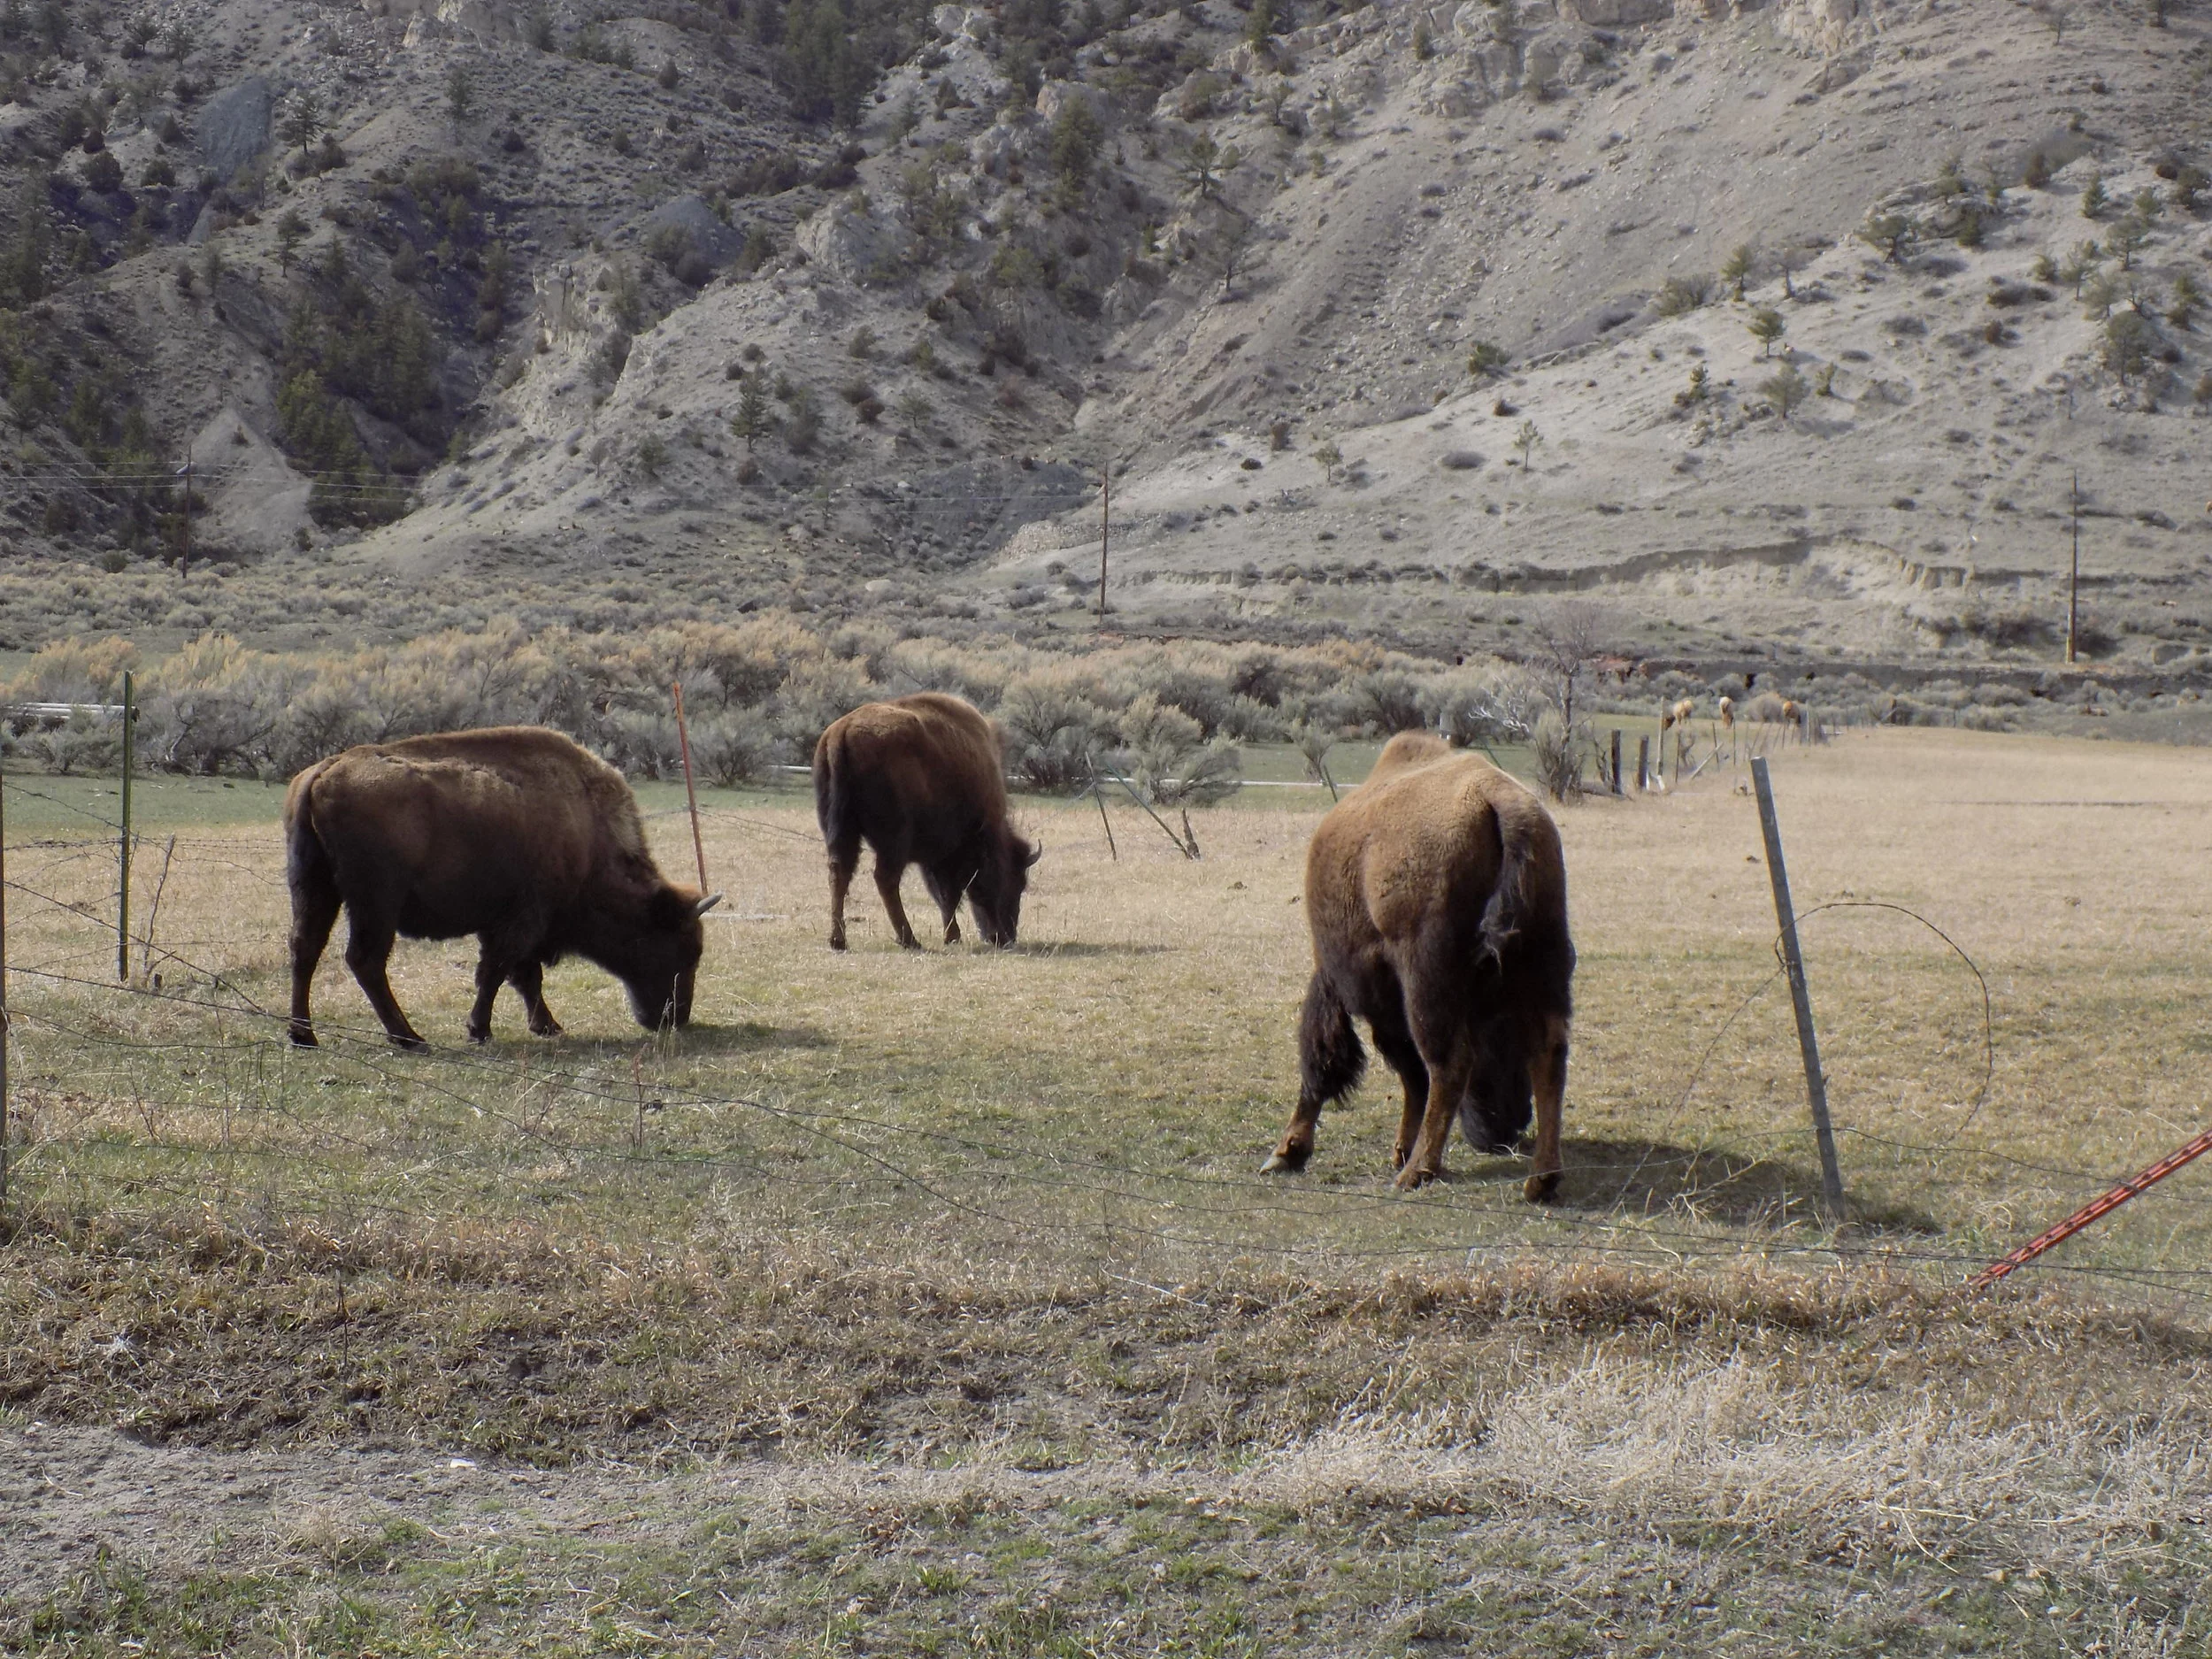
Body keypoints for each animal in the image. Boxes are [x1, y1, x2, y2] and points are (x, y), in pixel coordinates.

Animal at [284, 726, 722, 1050]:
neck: (586, 831)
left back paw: (303, 1035)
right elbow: (498, 973)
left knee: (305, 950)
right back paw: (408, 1038)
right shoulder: (522, 921)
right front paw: (480, 1030)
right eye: (683, 949)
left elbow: (523, 977)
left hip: (315, 890)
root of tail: (322, 773)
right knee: (365, 960)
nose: (675, 1018)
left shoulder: (508, 924)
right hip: (377, 904)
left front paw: (546, 1026)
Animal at [813, 692, 1039, 950]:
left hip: (842, 831)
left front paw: (952, 936)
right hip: (894, 840)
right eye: (1016, 882)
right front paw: (957, 936)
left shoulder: (937, 856)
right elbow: (958, 891)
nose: (1009, 936)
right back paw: (909, 939)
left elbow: (945, 895)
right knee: (885, 879)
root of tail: (842, 732)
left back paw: (838, 940)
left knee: (839, 872)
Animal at [1264, 732, 1575, 1199]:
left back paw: (1417, 1171)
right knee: (1549, 1055)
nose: (1506, 1130)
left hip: (1426, 981)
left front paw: (1287, 1152)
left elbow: (1328, 1062)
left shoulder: (1342, 982)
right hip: (1545, 964)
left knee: (1448, 1064)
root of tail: (1505, 806)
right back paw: (1542, 1180)